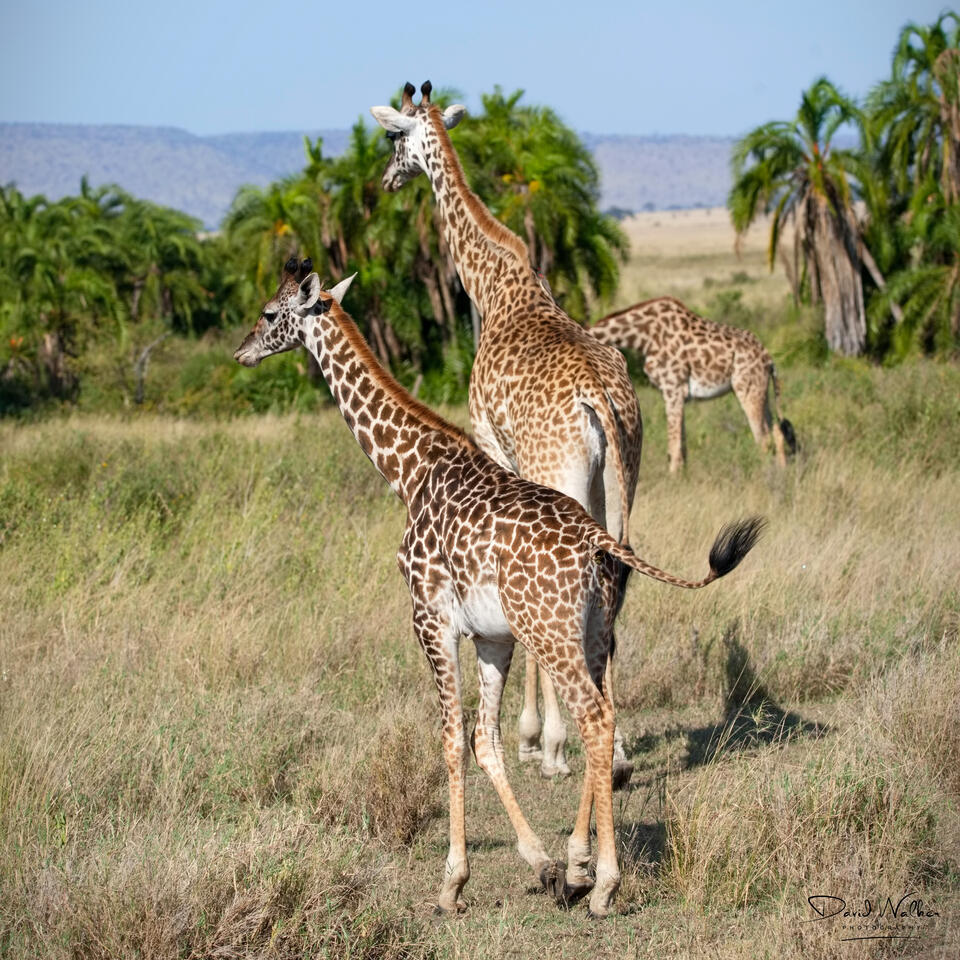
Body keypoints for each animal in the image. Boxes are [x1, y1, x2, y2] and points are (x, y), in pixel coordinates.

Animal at [233, 257, 765, 918]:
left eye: (270, 313)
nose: (241, 351)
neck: (410, 470)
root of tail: (598, 539)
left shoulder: (431, 620)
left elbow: (451, 741)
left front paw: (452, 884)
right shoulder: (492, 637)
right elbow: (484, 740)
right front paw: (544, 865)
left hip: (551, 631)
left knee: (594, 716)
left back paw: (604, 884)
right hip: (589, 628)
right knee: (607, 709)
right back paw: (581, 864)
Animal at [371, 81, 641, 788]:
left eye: (392, 139)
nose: (386, 180)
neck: (492, 286)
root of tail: (599, 400)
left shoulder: (492, 444)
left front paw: (533, 739)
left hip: (563, 476)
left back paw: (557, 745)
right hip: (623, 482)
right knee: (615, 581)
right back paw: (617, 755)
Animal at [590, 298, 797, 473]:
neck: (644, 336)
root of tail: (769, 360)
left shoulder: (672, 388)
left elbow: (673, 441)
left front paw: (673, 477)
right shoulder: (677, 393)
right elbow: (682, 442)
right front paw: (683, 475)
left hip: (747, 390)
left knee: (763, 438)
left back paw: (766, 473)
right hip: (761, 391)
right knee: (776, 431)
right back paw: (782, 470)